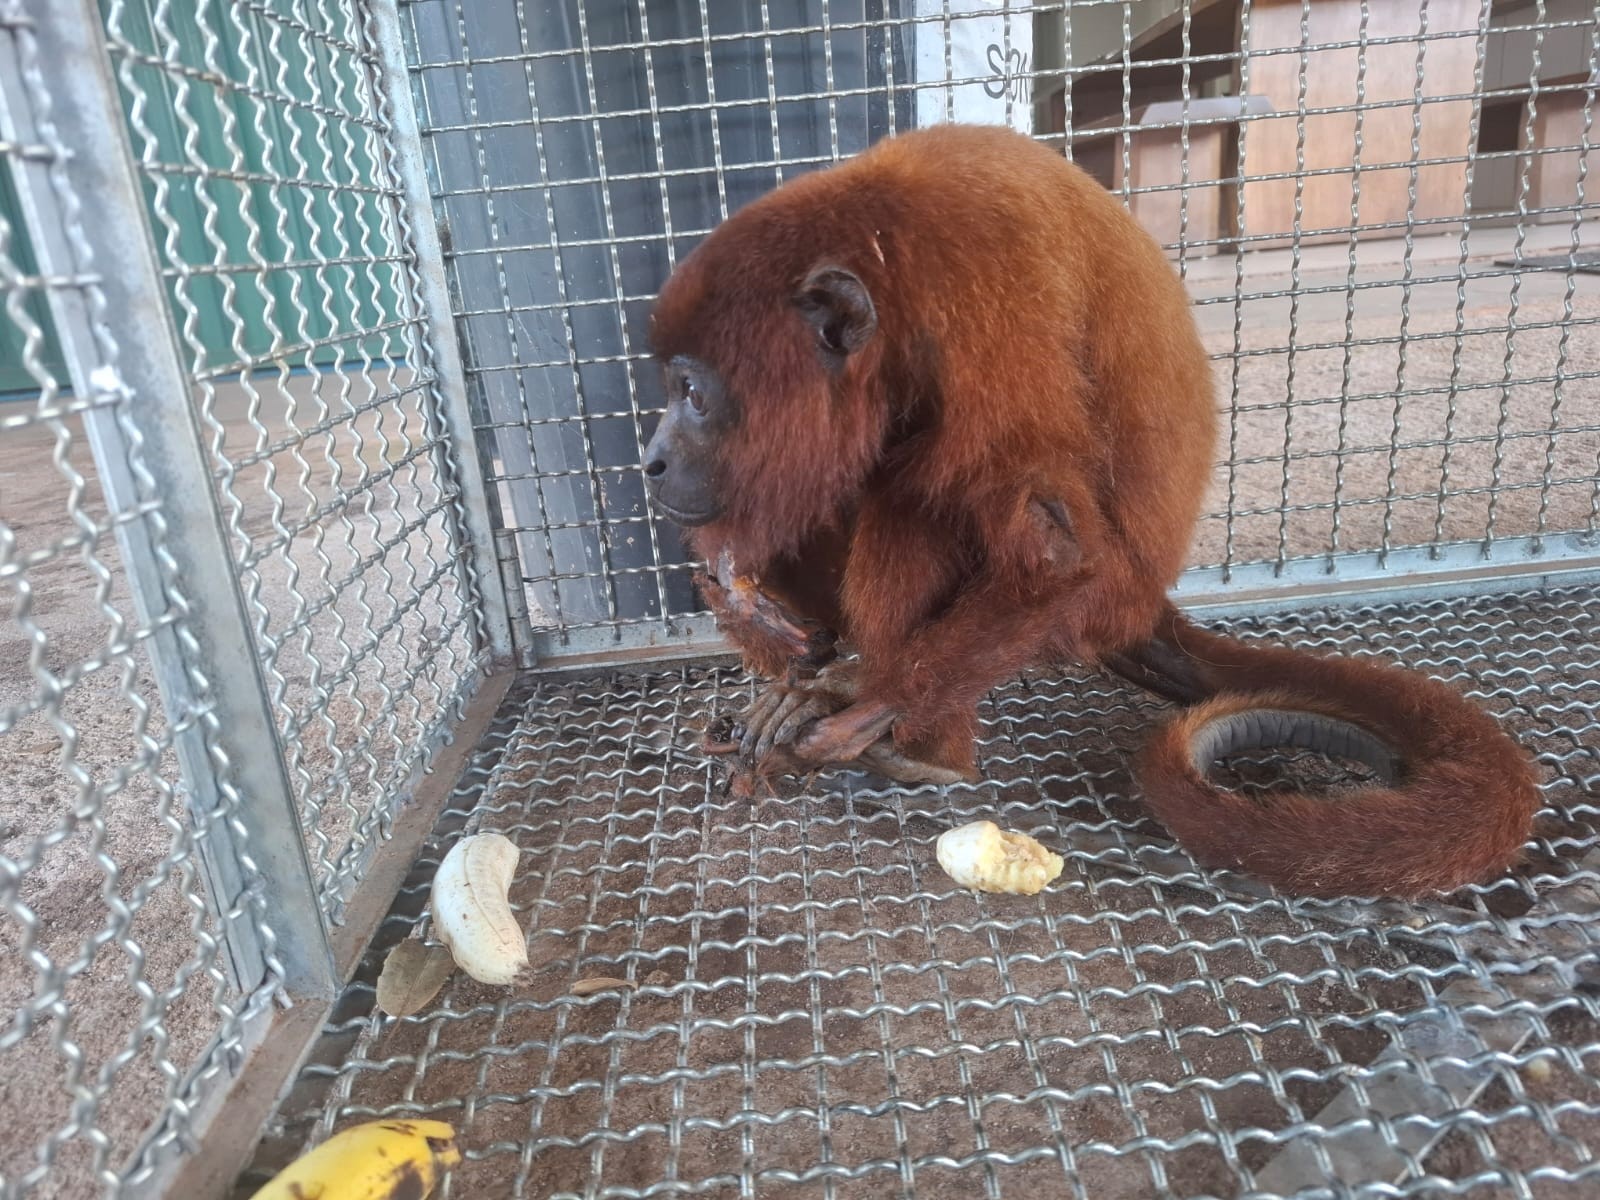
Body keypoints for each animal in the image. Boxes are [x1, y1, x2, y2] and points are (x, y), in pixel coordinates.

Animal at [640, 123, 1540, 900]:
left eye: (692, 392)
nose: (650, 460)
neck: (885, 257)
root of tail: (1145, 603)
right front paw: (745, 598)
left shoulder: (986, 308)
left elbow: (1053, 552)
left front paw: (857, 697)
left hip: (1101, 596)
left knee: (920, 498)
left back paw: (930, 755)